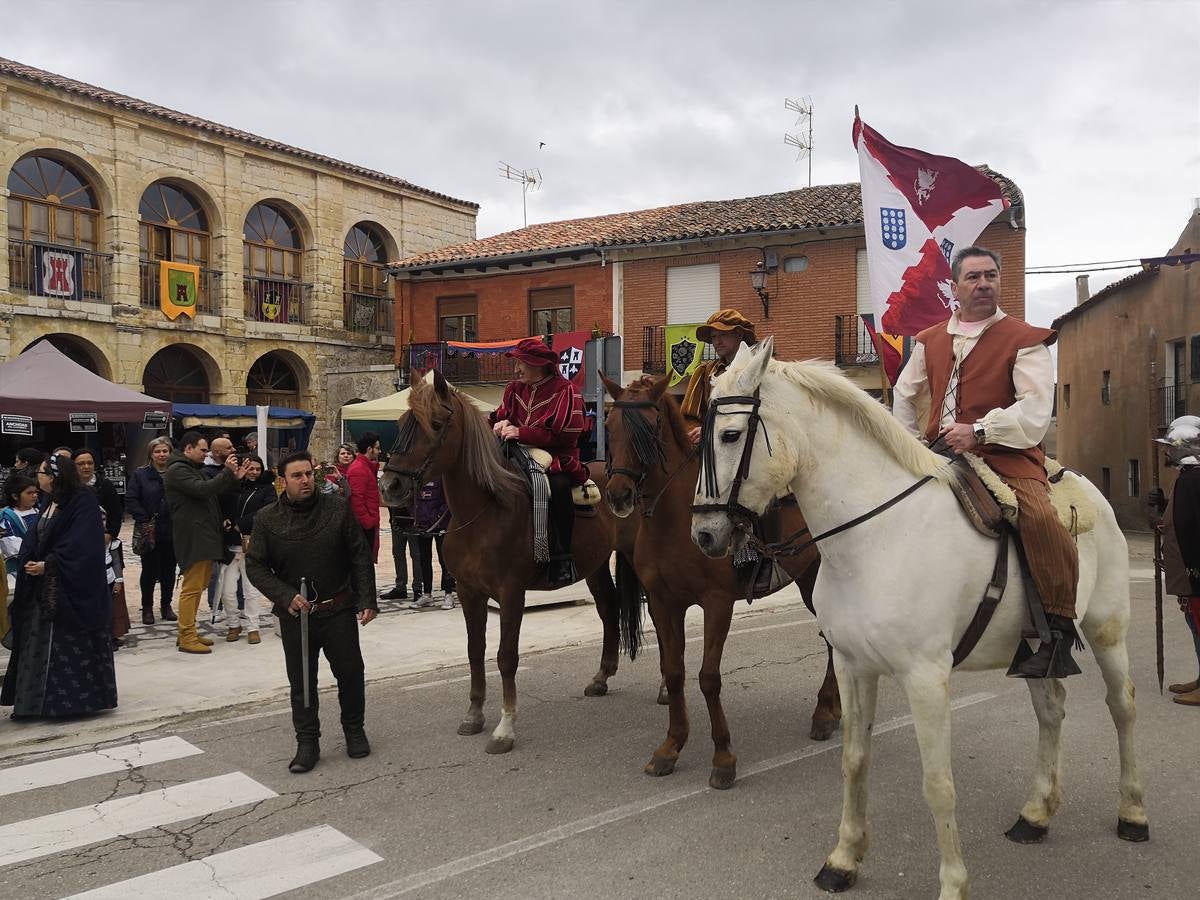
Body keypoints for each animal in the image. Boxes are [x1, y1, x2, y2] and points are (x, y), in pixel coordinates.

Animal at [381, 369, 648, 758]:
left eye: (435, 424)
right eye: (401, 423)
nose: (390, 486)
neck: (484, 511)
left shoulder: (511, 594)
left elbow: (506, 656)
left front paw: (504, 728)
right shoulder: (469, 592)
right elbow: (475, 651)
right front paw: (474, 714)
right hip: (596, 566)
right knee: (608, 608)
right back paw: (601, 677)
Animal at [600, 374, 844, 787]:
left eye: (650, 428)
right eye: (609, 425)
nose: (619, 495)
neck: (673, 520)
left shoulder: (717, 603)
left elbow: (708, 677)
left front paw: (723, 756)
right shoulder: (664, 603)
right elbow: (674, 672)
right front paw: (671, 747)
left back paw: (825, 712)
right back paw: (834, 709)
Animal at [691, 340, 1147, 900]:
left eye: (731, 435)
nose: (704, 534)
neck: (876, 536)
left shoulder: (926, 677)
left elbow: (938, 783)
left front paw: (952, 883)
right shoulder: (853, 667)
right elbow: (854, 760)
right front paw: (843, 859)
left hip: (1107, 631)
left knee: (1122, 707)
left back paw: (1132, 812)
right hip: (1034, 649)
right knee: (1051, 711)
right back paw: (1035, 814)